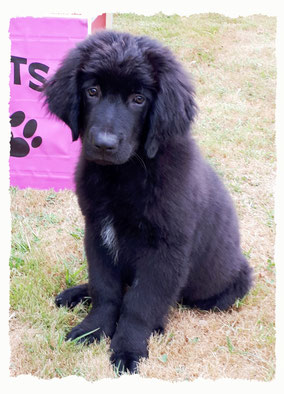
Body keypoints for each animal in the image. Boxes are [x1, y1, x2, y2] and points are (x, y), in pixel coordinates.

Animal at [43, 30, 253, 372]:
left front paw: (128, 348)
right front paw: (93, 329)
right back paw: (75, 294)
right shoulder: (96, 232)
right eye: (92, 91)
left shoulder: (164, 250)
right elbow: (105, 289)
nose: (104, 144)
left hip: (226, 288)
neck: (124, 174)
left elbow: (141, 303)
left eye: (138, 99)